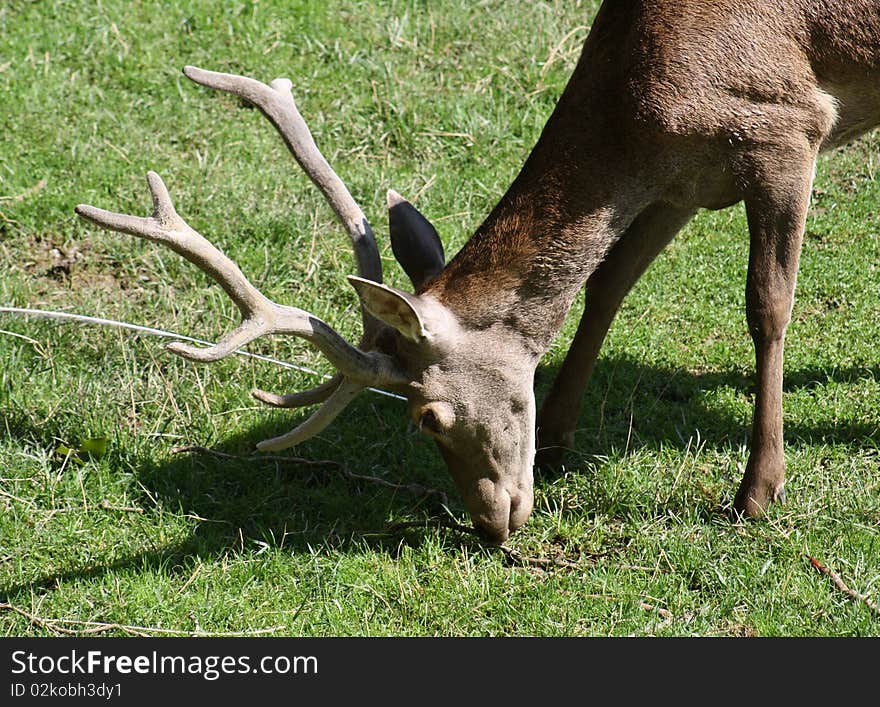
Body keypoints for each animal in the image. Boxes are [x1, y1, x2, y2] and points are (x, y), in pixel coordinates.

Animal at [74, 0, 880, 544]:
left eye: (426, 415)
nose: (493, 523)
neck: (649, 103)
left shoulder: (788, 129)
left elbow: (767, 306)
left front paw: (756, 490)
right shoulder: (678, 178)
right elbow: (606, 286)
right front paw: (557, 437)